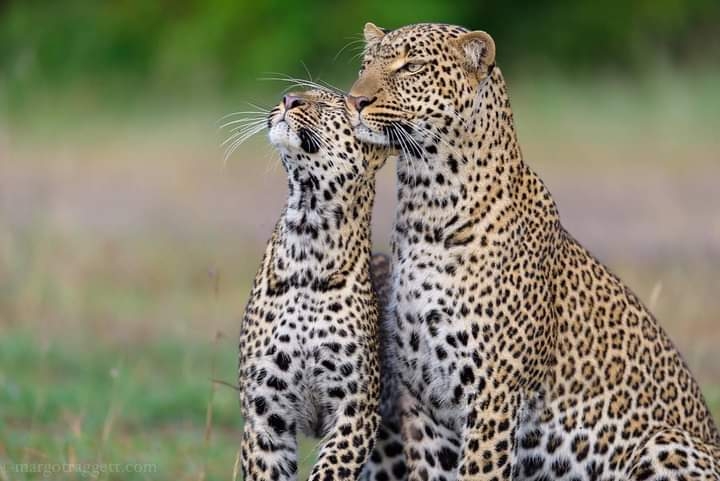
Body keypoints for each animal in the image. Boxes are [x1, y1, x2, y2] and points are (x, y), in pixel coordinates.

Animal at [237, 88, 407, 481]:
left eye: (333, 105)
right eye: (293, 95)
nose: (289, 99)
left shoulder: (356, 412)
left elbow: (330, 470)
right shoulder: (263, 411)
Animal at [346, 22, 720, 481]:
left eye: (411, 67)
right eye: (365, 65)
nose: (355, 100)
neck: (424, 206)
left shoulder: (493, 392)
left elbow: (479, 471)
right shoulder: (425, 404)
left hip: (662, 442)